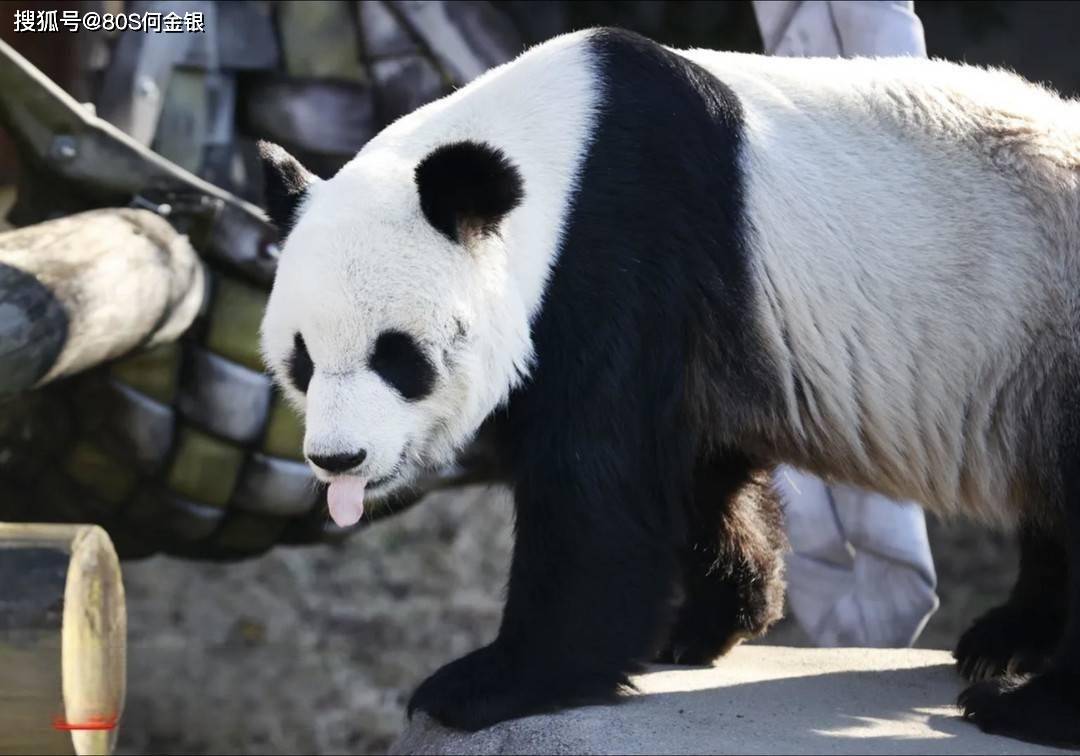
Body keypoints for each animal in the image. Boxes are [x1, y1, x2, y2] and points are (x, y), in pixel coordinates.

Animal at [257, 28, 1080, 743]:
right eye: (302, 360)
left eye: (398, 356)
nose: (338, 460)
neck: (556, 153)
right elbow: (694, 471)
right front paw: (713, 622)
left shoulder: (625, 247)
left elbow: (599, 493)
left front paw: (480, 685)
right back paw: (1007, 639)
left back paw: (1019, 703)